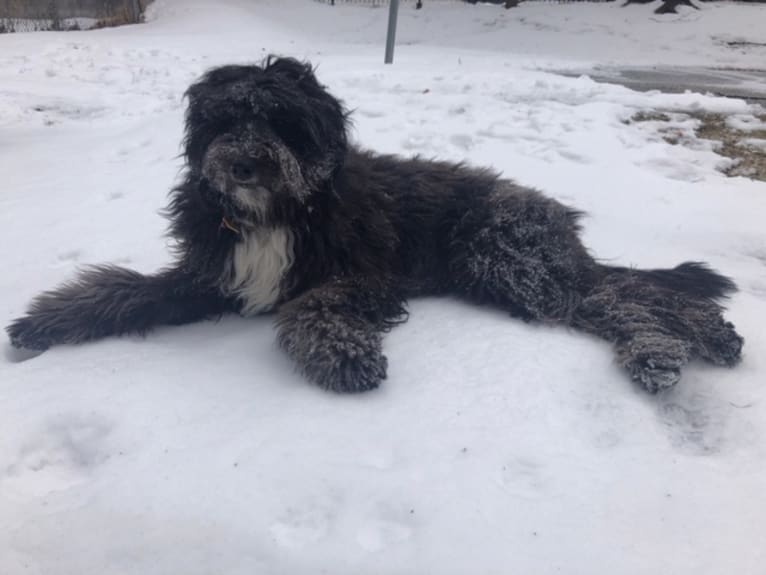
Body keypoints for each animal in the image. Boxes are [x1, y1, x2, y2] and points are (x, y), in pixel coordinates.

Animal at [4, 56, 744, 394]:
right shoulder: (213, 275)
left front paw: (344, 355)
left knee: (625, 295)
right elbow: (122, 289)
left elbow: (315, 307)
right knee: (626, 294)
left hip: (506, 258)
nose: (242, 163)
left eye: (280, 121)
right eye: (226, 118)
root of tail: (557, 216)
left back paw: (674, 349)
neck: (280, 210)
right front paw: (42, 321)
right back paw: (699, 341)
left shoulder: (363, 275)